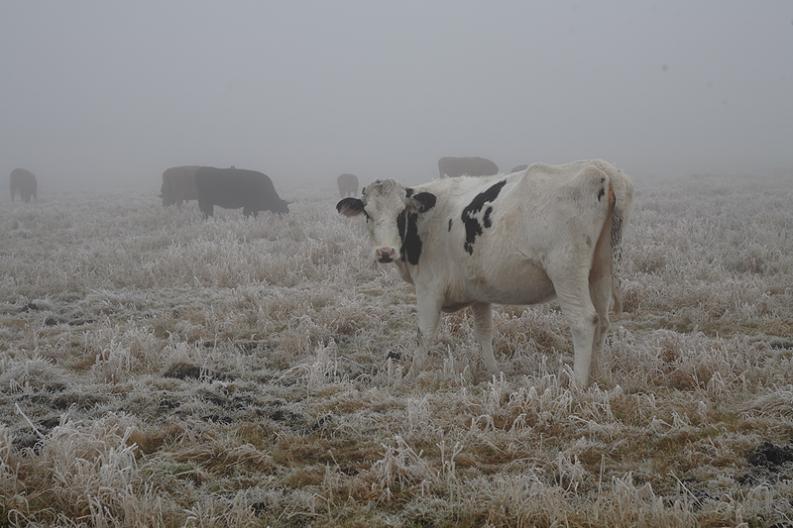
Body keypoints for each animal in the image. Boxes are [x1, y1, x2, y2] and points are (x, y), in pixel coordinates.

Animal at [338, 159, 636, 386]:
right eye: (367, 213)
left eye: (402, 213)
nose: (385, 252)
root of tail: (599, 167)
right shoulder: (479, 291)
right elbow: (484, 332)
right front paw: (494, 372)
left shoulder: (429, 288)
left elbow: (424, 333)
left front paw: (410, 376)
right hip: (600, 271)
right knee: (603, 321)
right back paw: (598, 374)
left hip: (566, 272)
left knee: (584, 321)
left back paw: (578, 384)